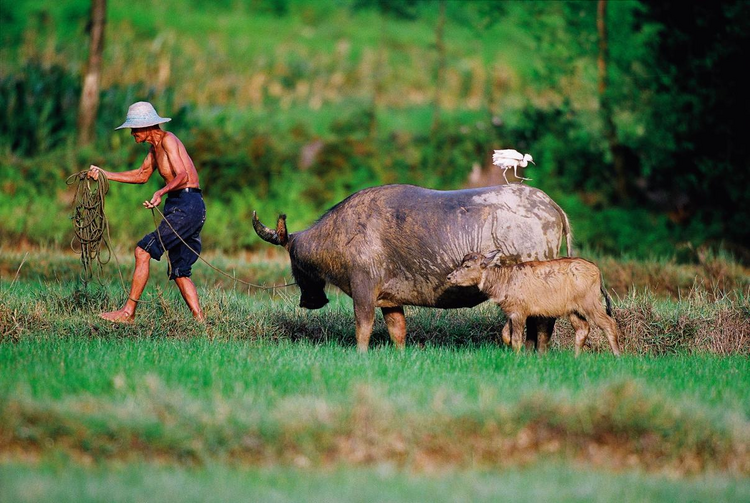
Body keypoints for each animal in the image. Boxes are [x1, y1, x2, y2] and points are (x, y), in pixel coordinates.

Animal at [254, 183, 576, 352]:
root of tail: (551, 205)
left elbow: (363, 327)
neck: (342, 233)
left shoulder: (363, 290)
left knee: (543, 324)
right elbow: (397, 331)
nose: (310, 301)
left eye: (295, 263)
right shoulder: (390, 301)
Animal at [450, 254, 620, 356]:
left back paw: (617, 355)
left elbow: (516, 339)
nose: (449, 277)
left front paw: (517, 357)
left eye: (467, 265)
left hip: (590, 302)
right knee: (583, 328)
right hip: (574, 309)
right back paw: (576, 357)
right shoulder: (511, 311)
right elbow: (505, 335)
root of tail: (598, 272)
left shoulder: (520, 311)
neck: (503, 284)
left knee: (609, 323)